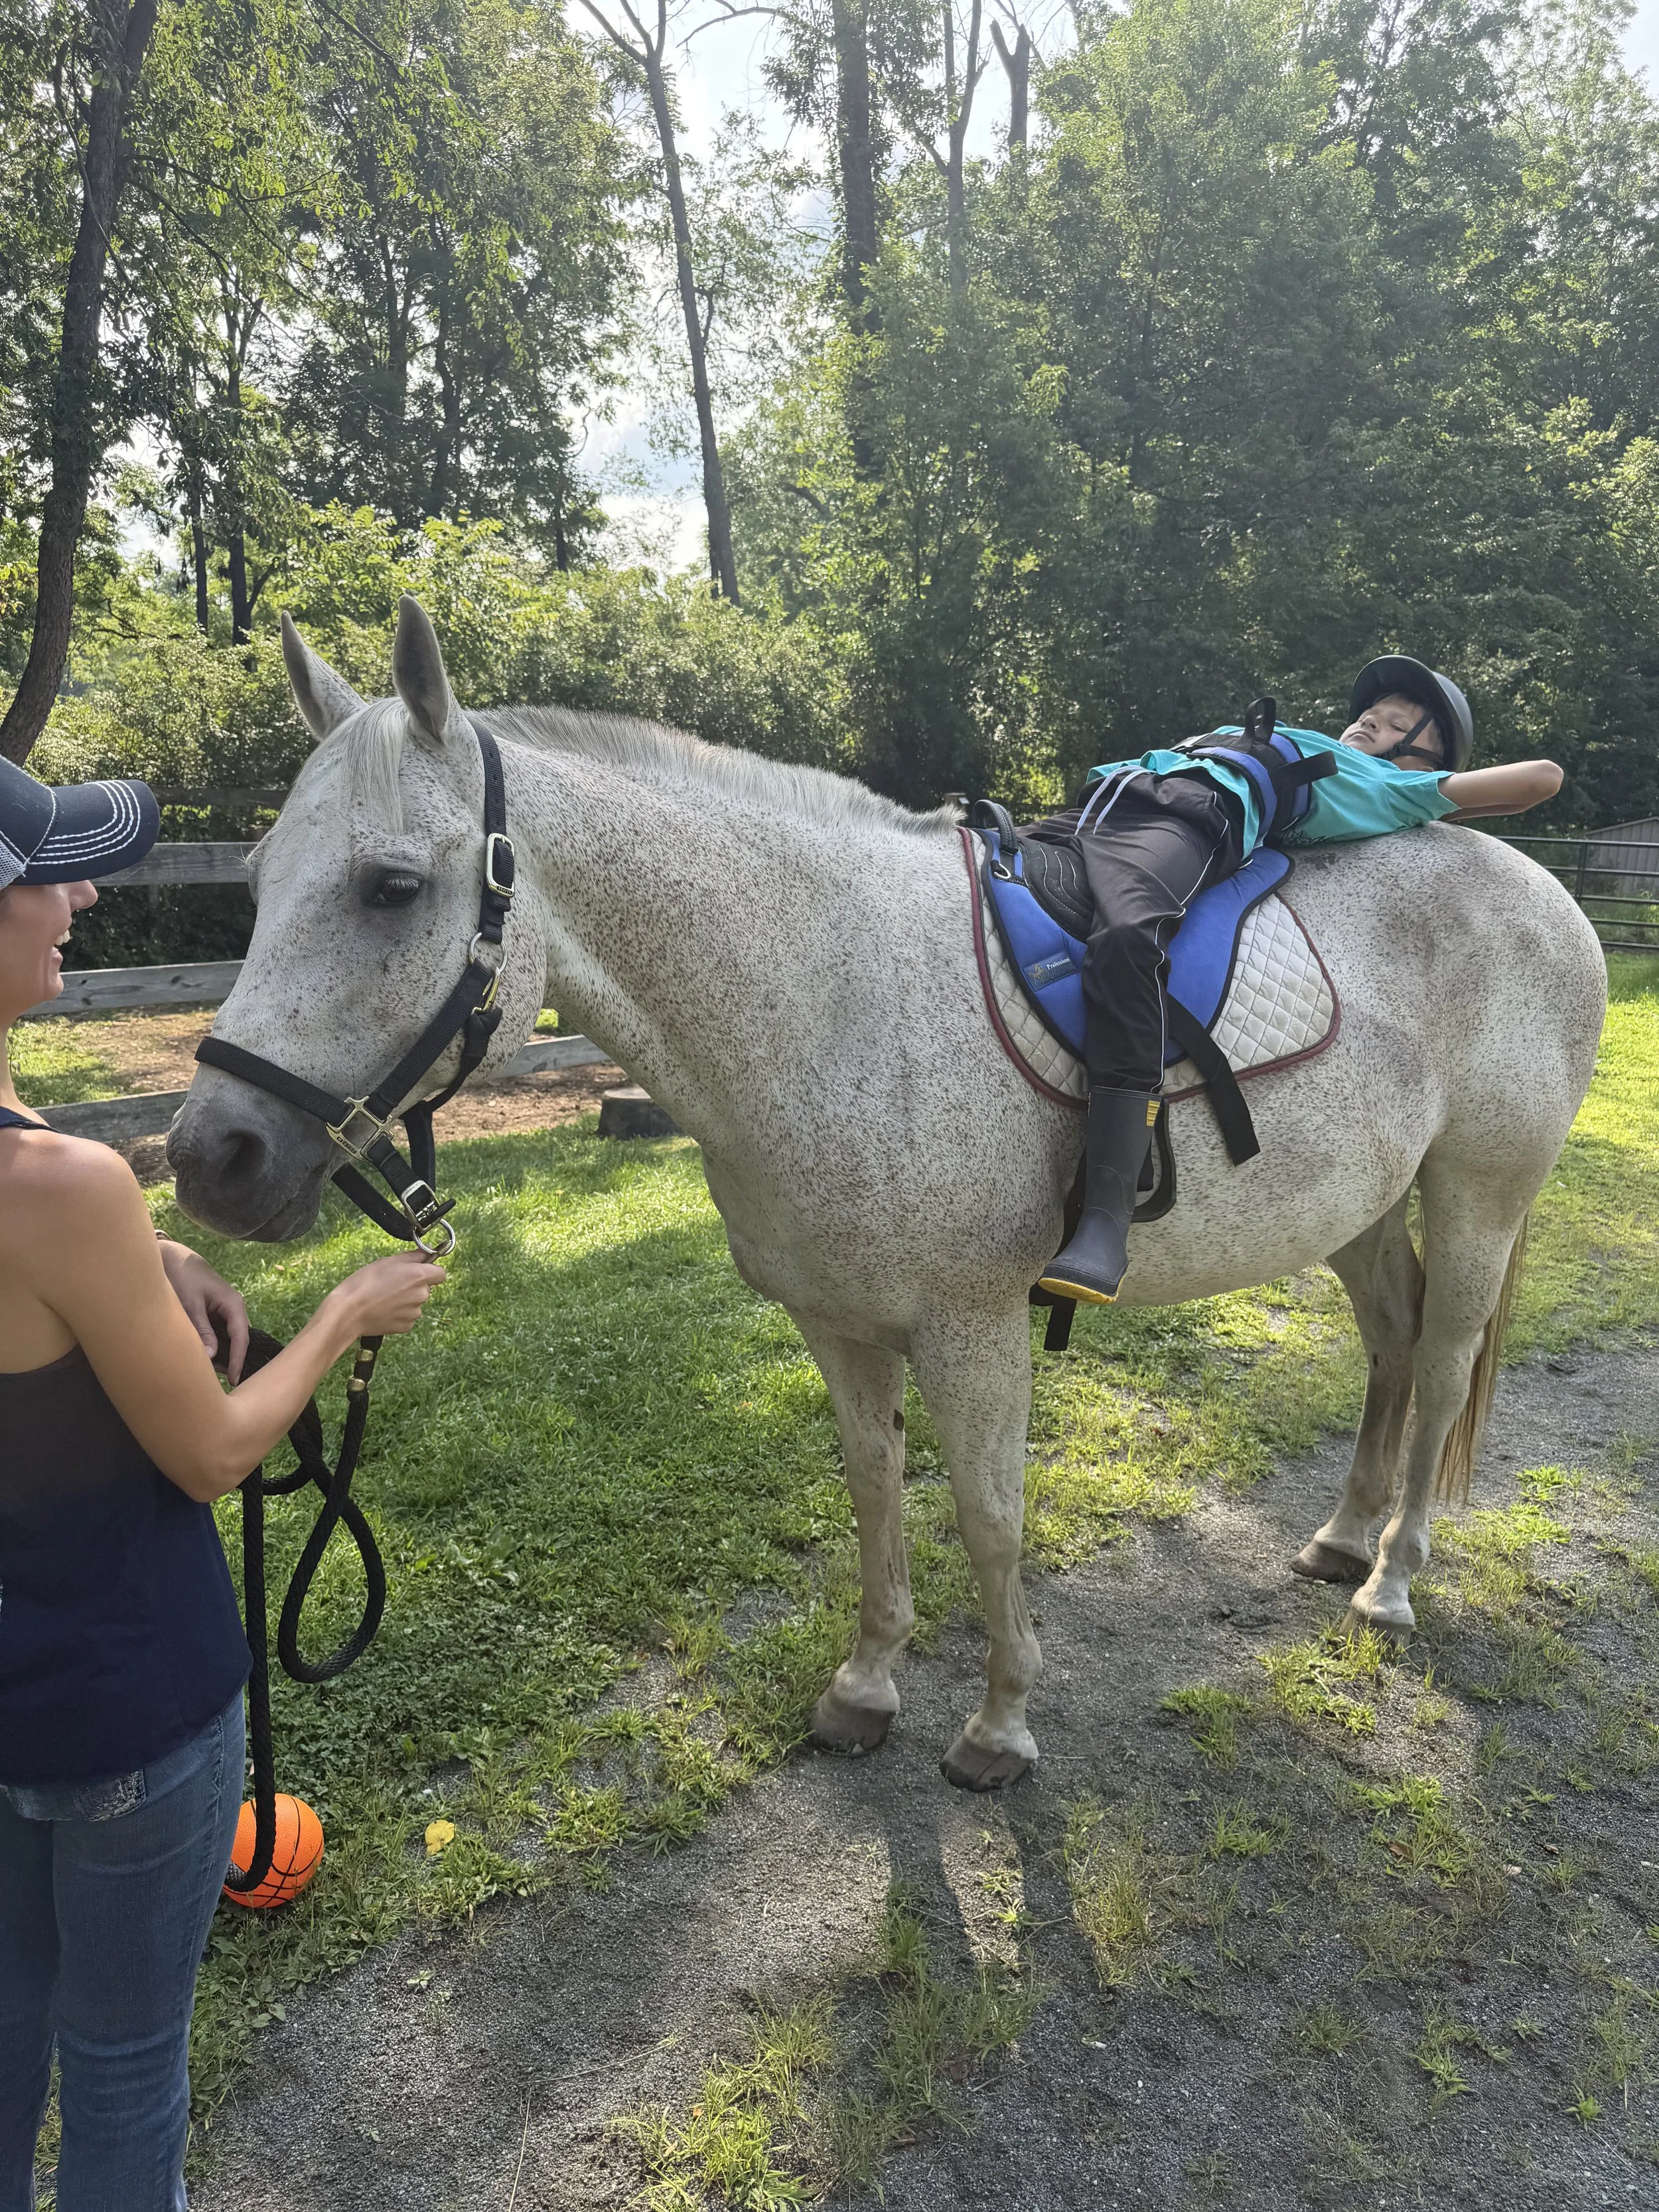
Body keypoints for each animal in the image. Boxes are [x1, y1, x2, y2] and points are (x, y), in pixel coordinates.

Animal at [168, 597, 1607, 1791]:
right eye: (257, 882)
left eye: (391, 886)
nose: (209, 1157)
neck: (838, 998)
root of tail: (1548, 893)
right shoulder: (840, 1323)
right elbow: (873, 1490)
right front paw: (865, 1687)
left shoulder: (972, 1328)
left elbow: (989, 1513)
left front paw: (1000, 1721)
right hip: (1360, 1207)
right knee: (1388, 1343)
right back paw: (1342, 1535)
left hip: (1476, 1195)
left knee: (1438, 1361)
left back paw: (1391, 1580)